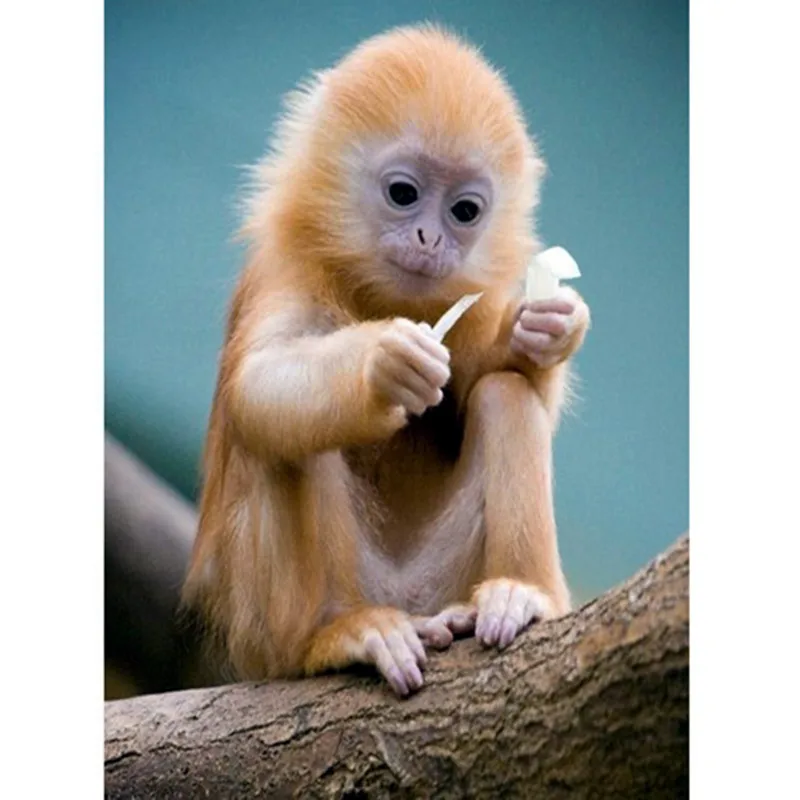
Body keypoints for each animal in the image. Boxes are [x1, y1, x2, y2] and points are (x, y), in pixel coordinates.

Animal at [182, 24, 590, 697]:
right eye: (404, 194)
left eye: (464, 211)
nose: (430, 239)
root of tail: (409, 600)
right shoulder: (284, 270)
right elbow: (258, 385)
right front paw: (383, 364)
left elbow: (486, 377)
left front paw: (547, 328)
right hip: (268, 630)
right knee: (291, 433)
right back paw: (341, 632)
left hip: (445, 577)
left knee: (504, 392)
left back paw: (521, 594)